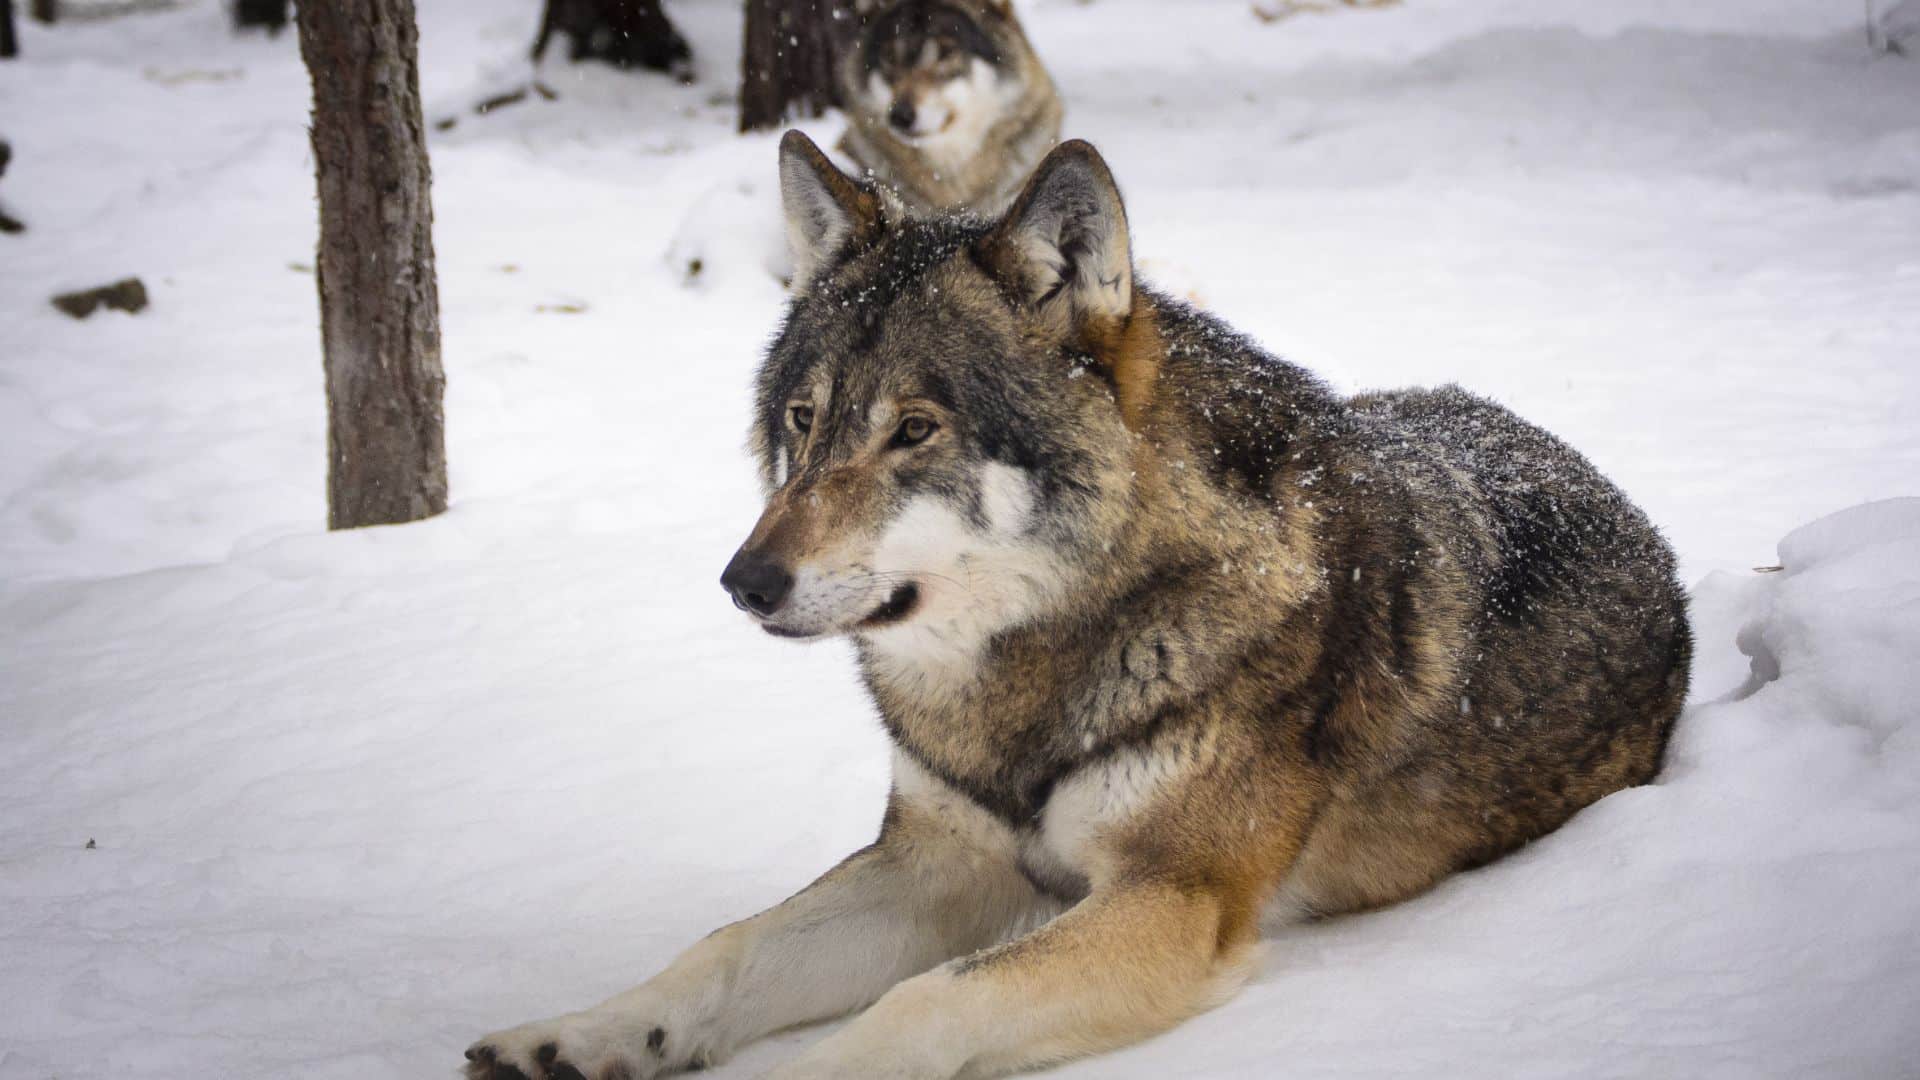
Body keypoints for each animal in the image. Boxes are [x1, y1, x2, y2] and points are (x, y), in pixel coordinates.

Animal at [468, 130, 1697, 1068]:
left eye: (915, 430)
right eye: (805, 422)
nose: (744, 583)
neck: (1041, 657)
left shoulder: (1173, 899)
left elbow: (926, 998)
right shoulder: (936, 862)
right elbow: (731, 944)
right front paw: (575, 1037)